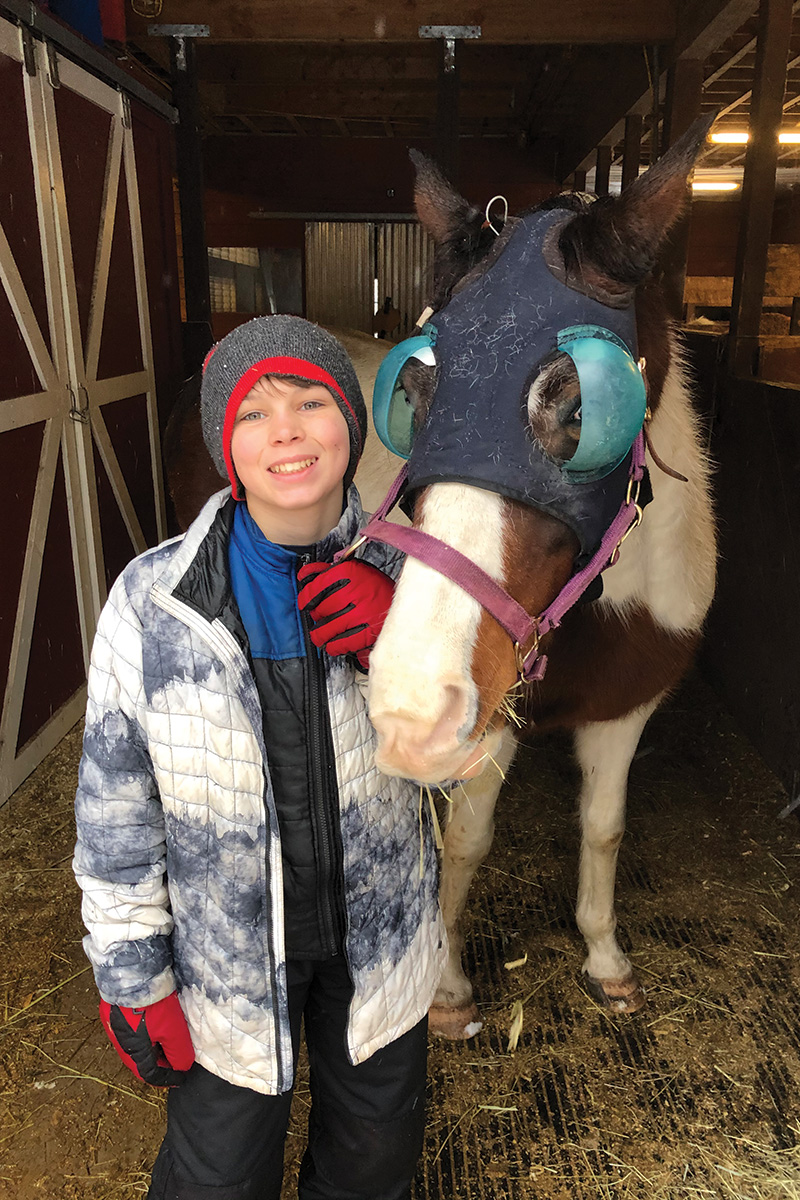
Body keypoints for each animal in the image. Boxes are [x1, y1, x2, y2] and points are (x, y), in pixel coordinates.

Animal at [362, 124, 719, 1041]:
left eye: (589, 406)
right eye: (412, 389)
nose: (410, 707)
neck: (603, 612)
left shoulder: (627, 708)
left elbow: (604, 829)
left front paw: (606, 959)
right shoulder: (488, 721)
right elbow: (465, 842)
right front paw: (447, 989)